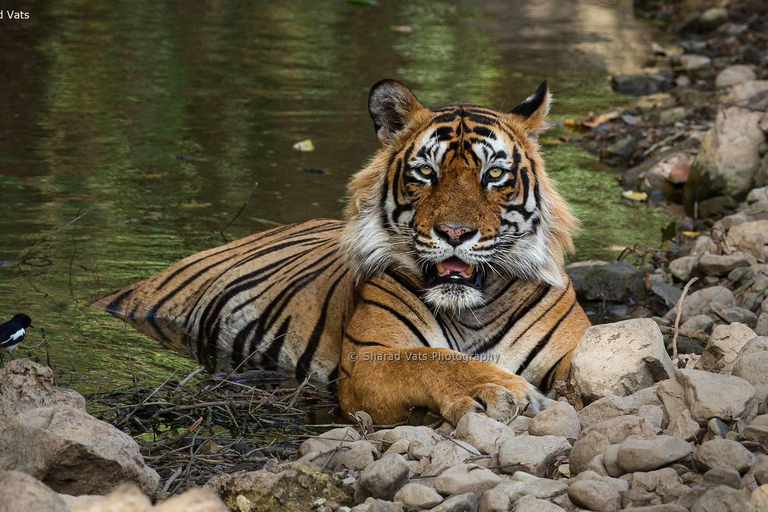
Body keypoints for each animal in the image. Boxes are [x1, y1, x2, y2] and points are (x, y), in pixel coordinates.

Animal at [94, 79, 588, 424]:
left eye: (494, 175)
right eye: (426, 172)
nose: (454, 232)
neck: (472, 311)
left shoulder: (571, 348)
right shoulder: (369, 359)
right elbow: (433, 362)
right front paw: (500, 389)